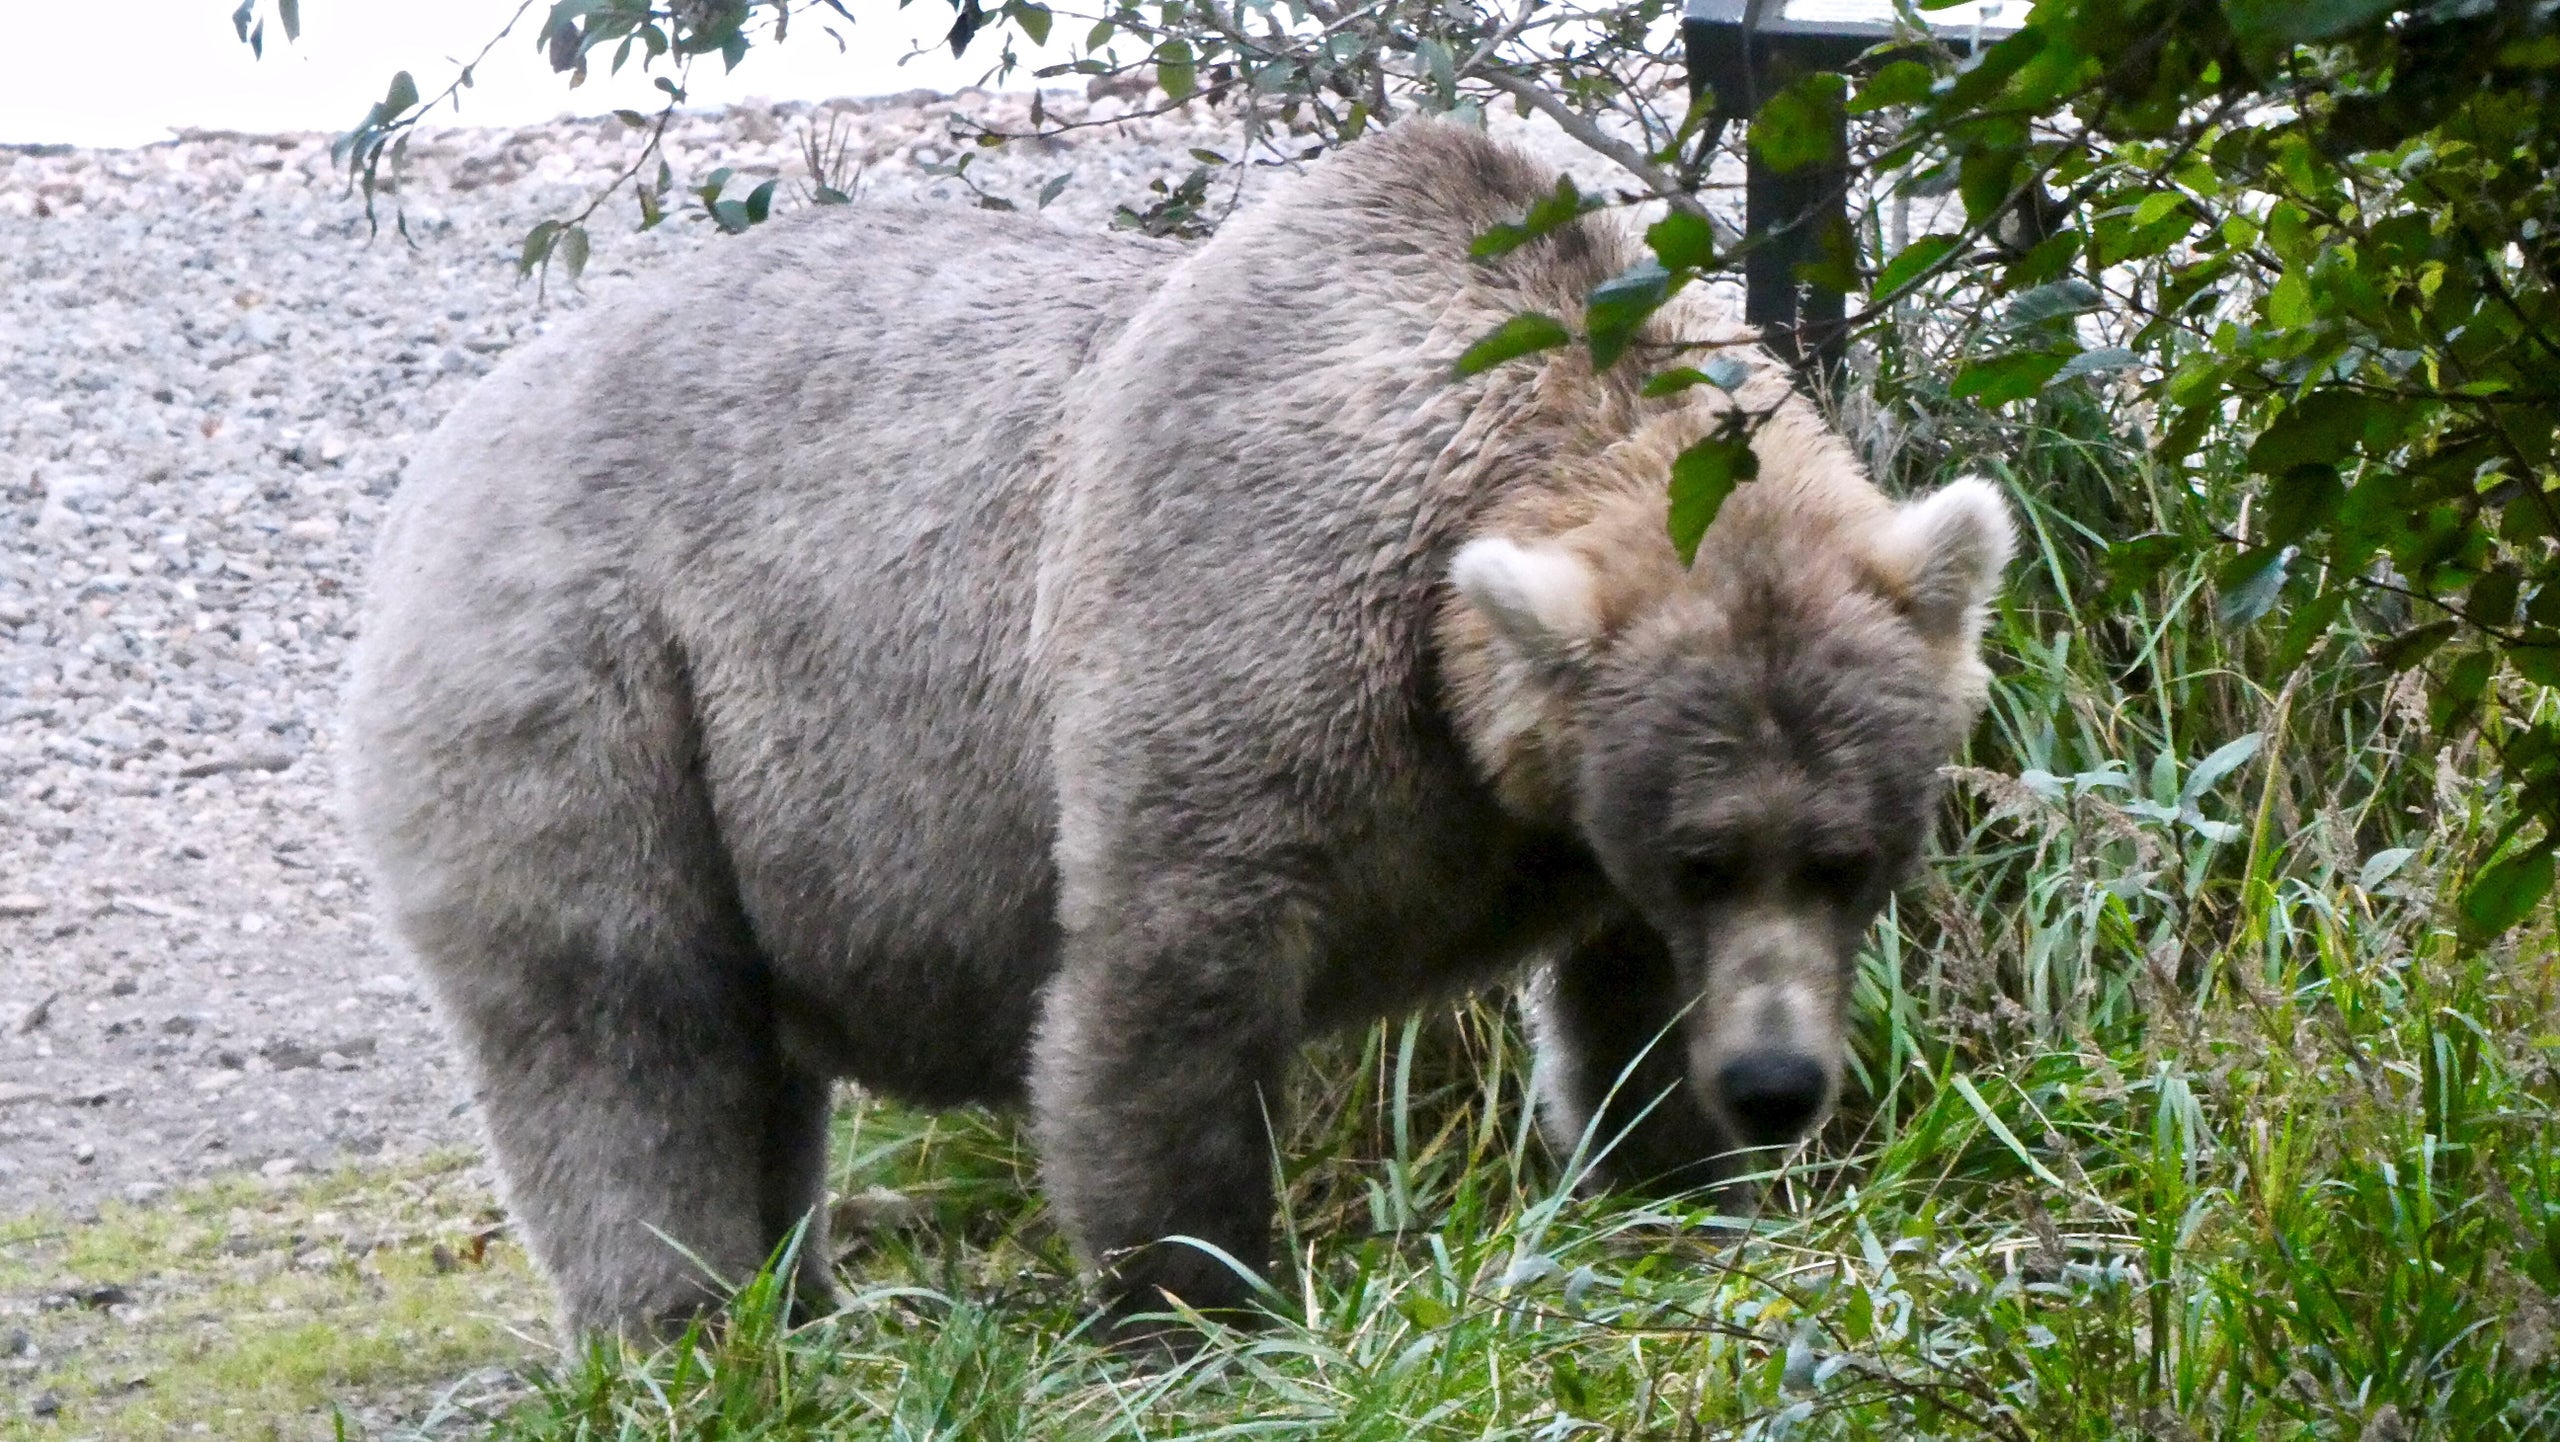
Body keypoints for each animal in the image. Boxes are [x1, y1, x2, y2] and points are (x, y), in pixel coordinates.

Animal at [345, 115, 2017, 1342]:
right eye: (1710, 856)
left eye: (1848, 857)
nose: (1782, 1085)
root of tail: (463, 428)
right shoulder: (1249, 609)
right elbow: (1167, 976)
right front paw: (1198, 1297)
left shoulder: (1569, 824)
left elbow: (1623, 1012)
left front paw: (1677, 1183)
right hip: (599, 681)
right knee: (621, 1020)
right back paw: (688, 1321)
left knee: (750, 1055)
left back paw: (802, 1297)